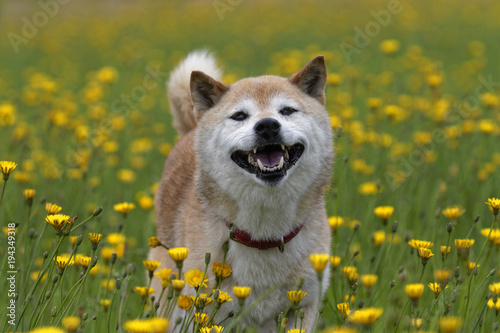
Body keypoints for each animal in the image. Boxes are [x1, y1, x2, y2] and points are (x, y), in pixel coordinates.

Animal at [150, 50, 334, 330]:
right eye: (239, 116)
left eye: (287, 110)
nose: (268, 125)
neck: (263, 236)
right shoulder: (202, 309)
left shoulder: (302, 306)